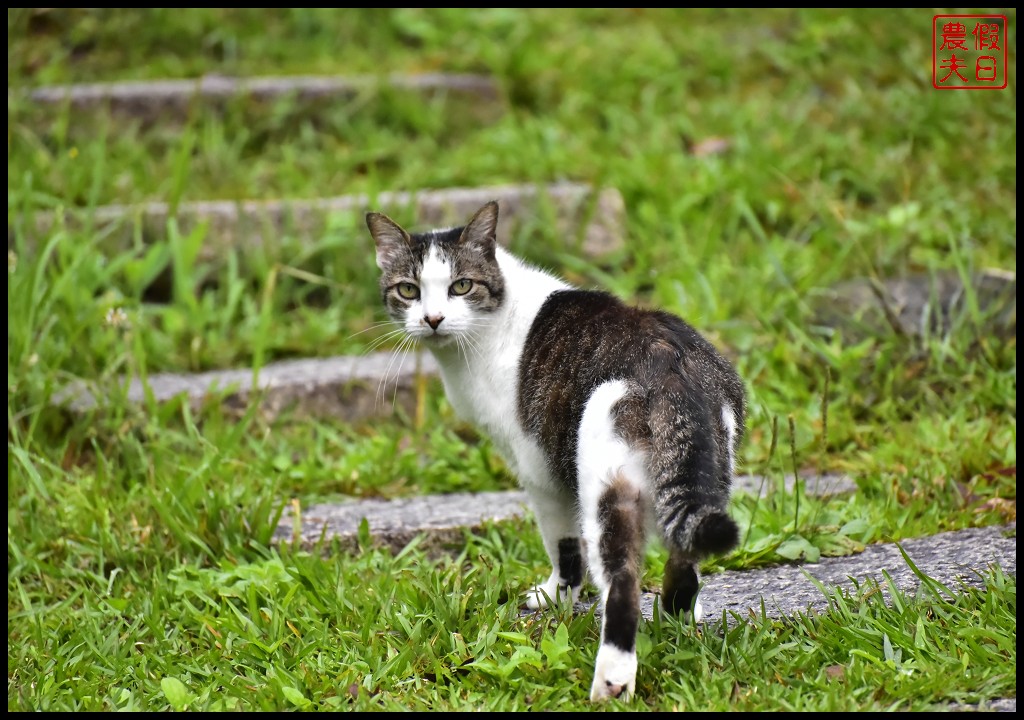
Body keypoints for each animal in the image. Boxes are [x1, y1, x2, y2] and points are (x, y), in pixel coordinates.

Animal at [366, 202, 745, 704]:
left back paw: (612, 681)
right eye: (408, 290)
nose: (432, 319)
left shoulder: (538, 470)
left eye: (460, 286)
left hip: (605, 486)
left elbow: (563, 547)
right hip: (709, 472)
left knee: (622, 582)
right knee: (684, 559)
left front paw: (557, 597)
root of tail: (671, 363)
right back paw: (676, 626)